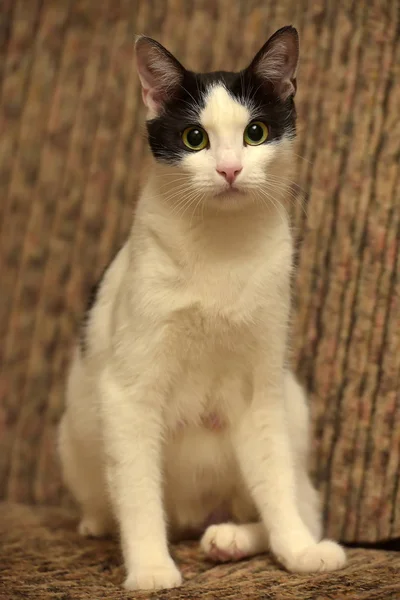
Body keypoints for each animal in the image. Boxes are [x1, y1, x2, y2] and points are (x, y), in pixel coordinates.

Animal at [57, 27, 346, 592]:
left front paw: (298, 550)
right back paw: (107, 523)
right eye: (195, 139)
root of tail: (193, 517)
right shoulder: (127, 392)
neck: (221, 248)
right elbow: (138, 493)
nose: (230, 169)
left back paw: (232, 538)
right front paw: (150, 568)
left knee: (300, 498)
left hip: (292, 402)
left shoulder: (262, 390)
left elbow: (275, 482)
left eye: (255, 132)